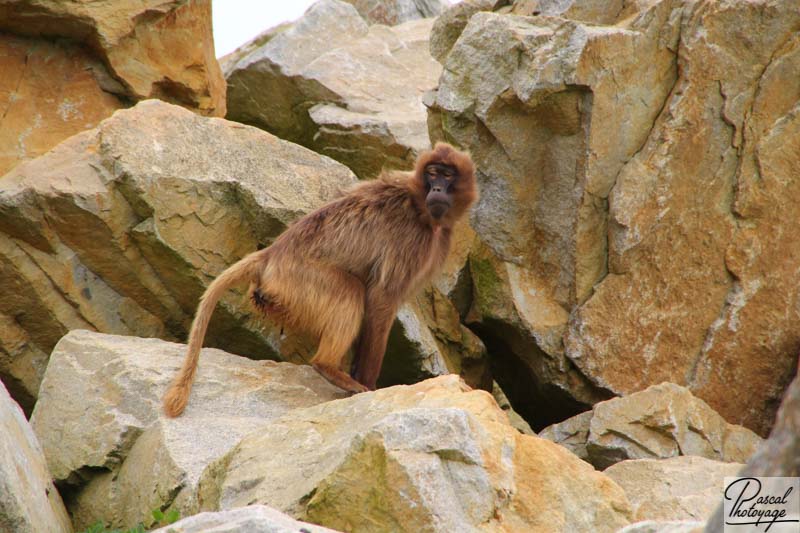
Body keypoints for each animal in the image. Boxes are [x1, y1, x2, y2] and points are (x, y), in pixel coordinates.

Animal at [161, 141, 476, 416]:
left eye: (447, 174)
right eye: (433, 173)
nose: (437, 188)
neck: (422, 208)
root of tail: (271, 254)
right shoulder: (410, 242)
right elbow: (381, 300)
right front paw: (370, 386)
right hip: (298, 281)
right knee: (351, 290)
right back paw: (328, 367)